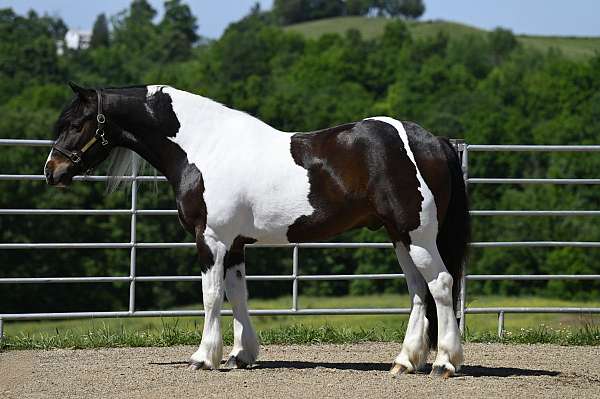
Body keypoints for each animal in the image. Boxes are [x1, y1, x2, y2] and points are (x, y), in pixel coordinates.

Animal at [44, 83, 472, 378]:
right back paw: (405, 362)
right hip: (400, 236)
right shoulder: (234, 245)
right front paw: (241, 354)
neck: (206, 147)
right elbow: (237, 295)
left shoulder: (210, 240)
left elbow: (211, 296)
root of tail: (434, 141)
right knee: (418, 290)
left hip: (418, 236)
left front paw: (204, 357)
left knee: (441, 285)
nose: (52, 171)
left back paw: (445, 363)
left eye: (77, 123)